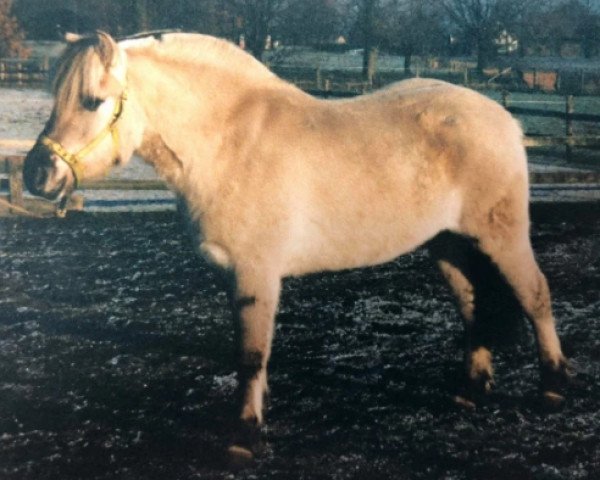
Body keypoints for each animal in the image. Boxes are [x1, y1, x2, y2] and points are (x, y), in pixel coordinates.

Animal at [23, 31, 572, 464]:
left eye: (92, 100)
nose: (36, 176)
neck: (228, 144)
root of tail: (504, 119)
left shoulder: (256, 274)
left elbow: (251, 354)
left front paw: (245, 437)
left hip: (502, 238)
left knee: (536, 297)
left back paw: (553, 387)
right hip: (449, 246)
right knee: (474, 306)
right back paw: (470, 391)